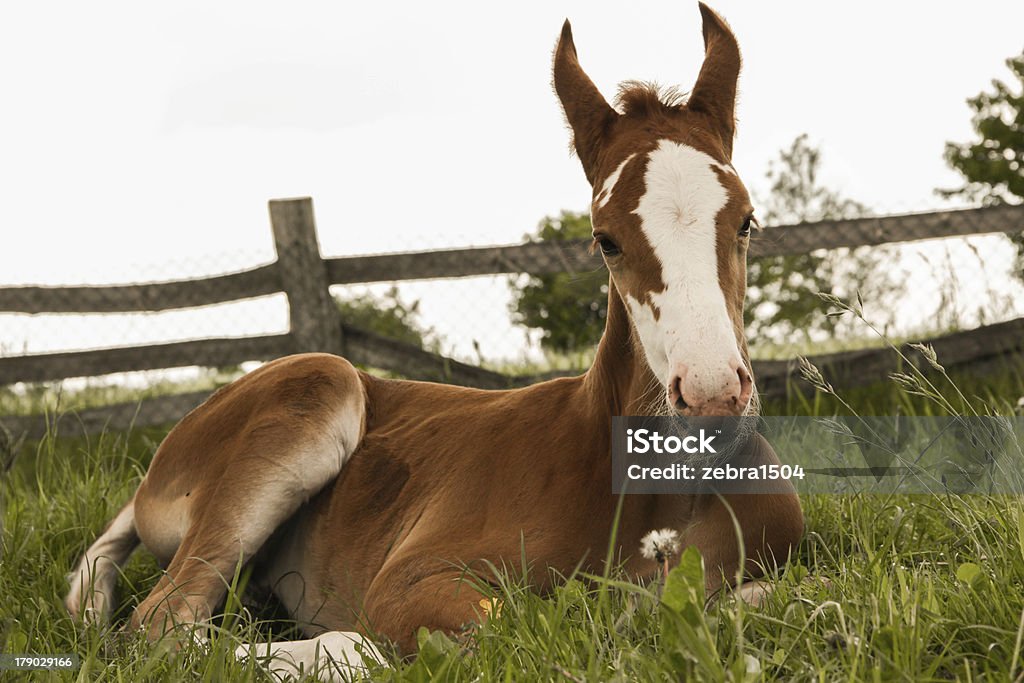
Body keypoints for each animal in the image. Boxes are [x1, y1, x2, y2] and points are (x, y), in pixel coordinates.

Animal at [64, 3, 802, 679]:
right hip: (317, 383)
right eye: (606, 239)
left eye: (746, 221)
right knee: (163, 624)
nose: (710, 394)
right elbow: (499, 629)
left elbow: (775, 601)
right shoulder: (413, 578)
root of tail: (160, 465)